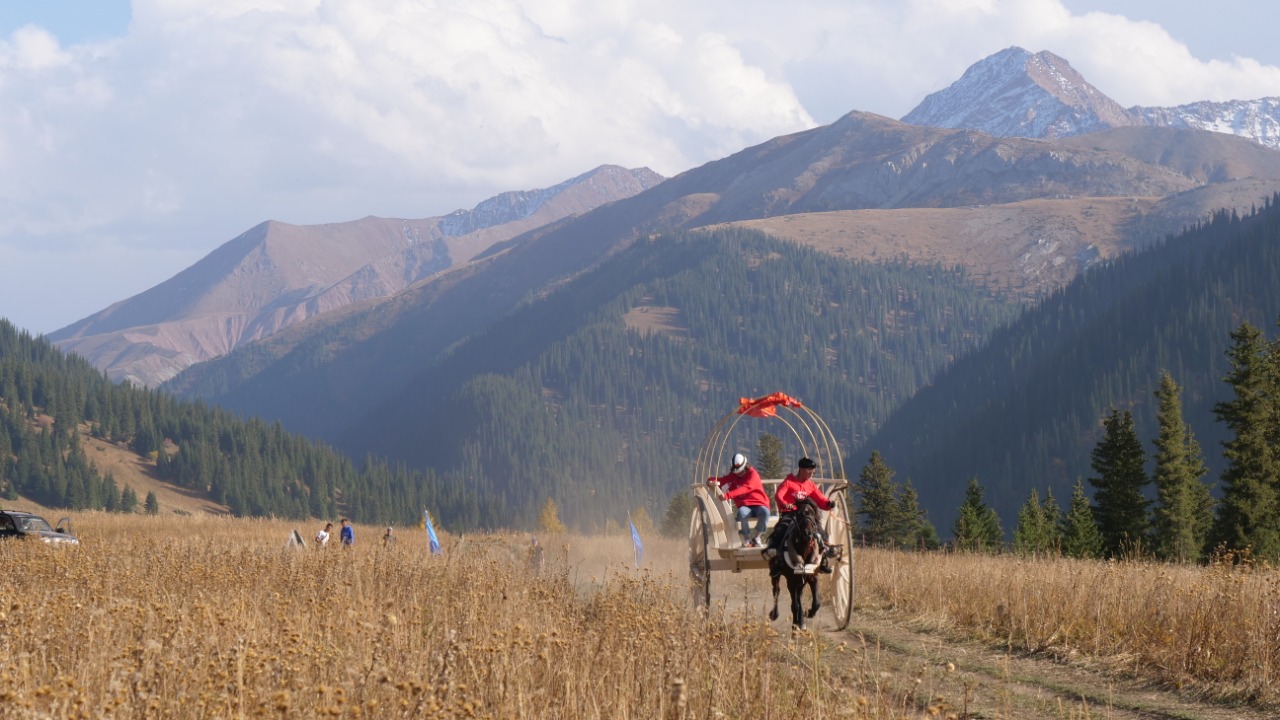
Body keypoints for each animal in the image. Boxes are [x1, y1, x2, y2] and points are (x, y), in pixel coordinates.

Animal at [768, 497, 819, 625]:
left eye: (812, 513)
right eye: (800, 514)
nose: (808, 533)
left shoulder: (813, 578)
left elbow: (816, 602)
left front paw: (809, 613)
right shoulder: (791, 581)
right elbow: (795, 605)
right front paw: (797, 623)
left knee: (798, 596)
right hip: (776, 576)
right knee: (776, 591)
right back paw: (774, 614)